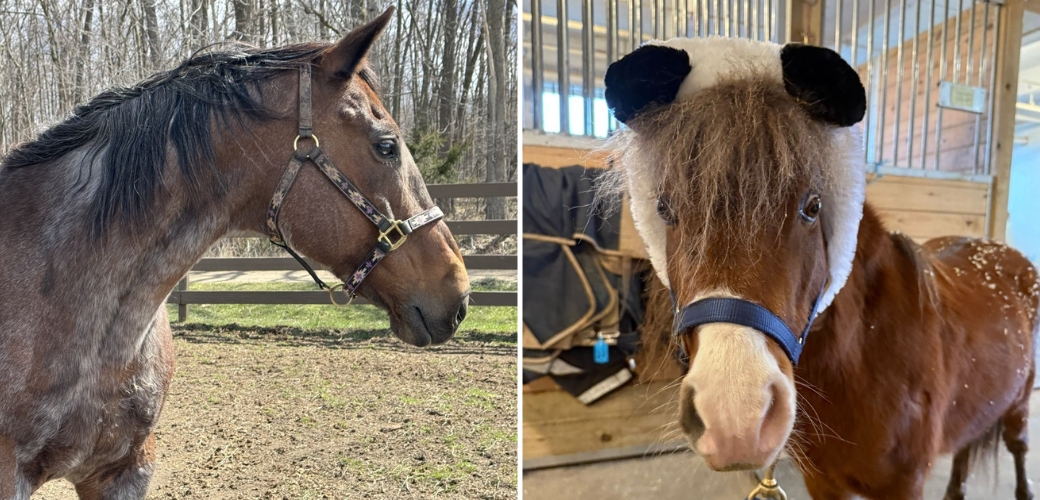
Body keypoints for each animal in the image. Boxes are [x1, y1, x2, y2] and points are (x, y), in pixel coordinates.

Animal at [602, 38, 1040, 500]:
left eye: (812, 207)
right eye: (665, 209)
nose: (736, 417)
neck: (862, 361)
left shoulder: (904, 484)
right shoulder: (824, 481)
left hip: (1017, 406)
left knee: (1017, 448)